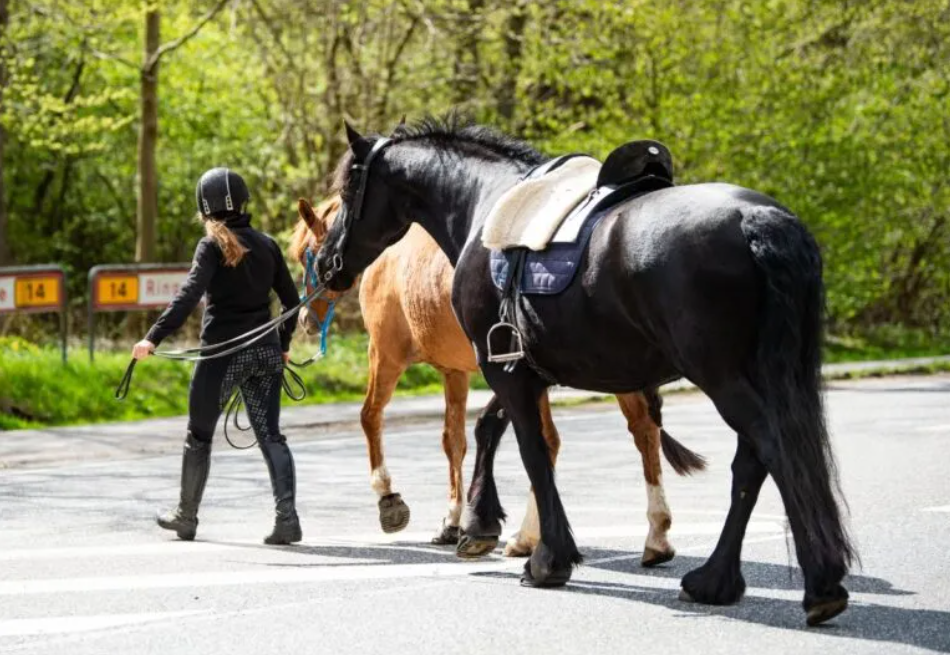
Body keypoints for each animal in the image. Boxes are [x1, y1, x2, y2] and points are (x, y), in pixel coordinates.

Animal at [290, 195, 708, 564]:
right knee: (642, 432)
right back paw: (653, 537)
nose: (305, 320)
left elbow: (371, 417)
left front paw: (389, 498)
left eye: (305, 253)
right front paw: (454, 520)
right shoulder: (458, 373)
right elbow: (455, 441)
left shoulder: (386, 354)